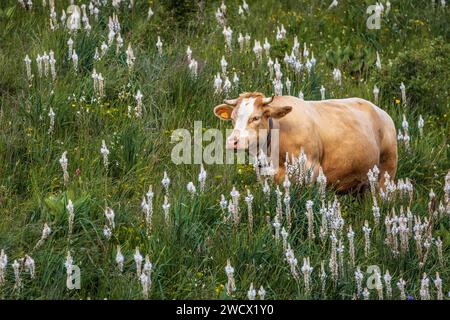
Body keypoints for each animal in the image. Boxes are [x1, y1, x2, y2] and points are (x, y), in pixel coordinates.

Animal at [214, 92, 398, 192]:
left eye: (256, 117)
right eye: (233, 118)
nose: (232, 142)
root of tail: (382, 113)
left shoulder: (311, 170)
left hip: (386, 172)